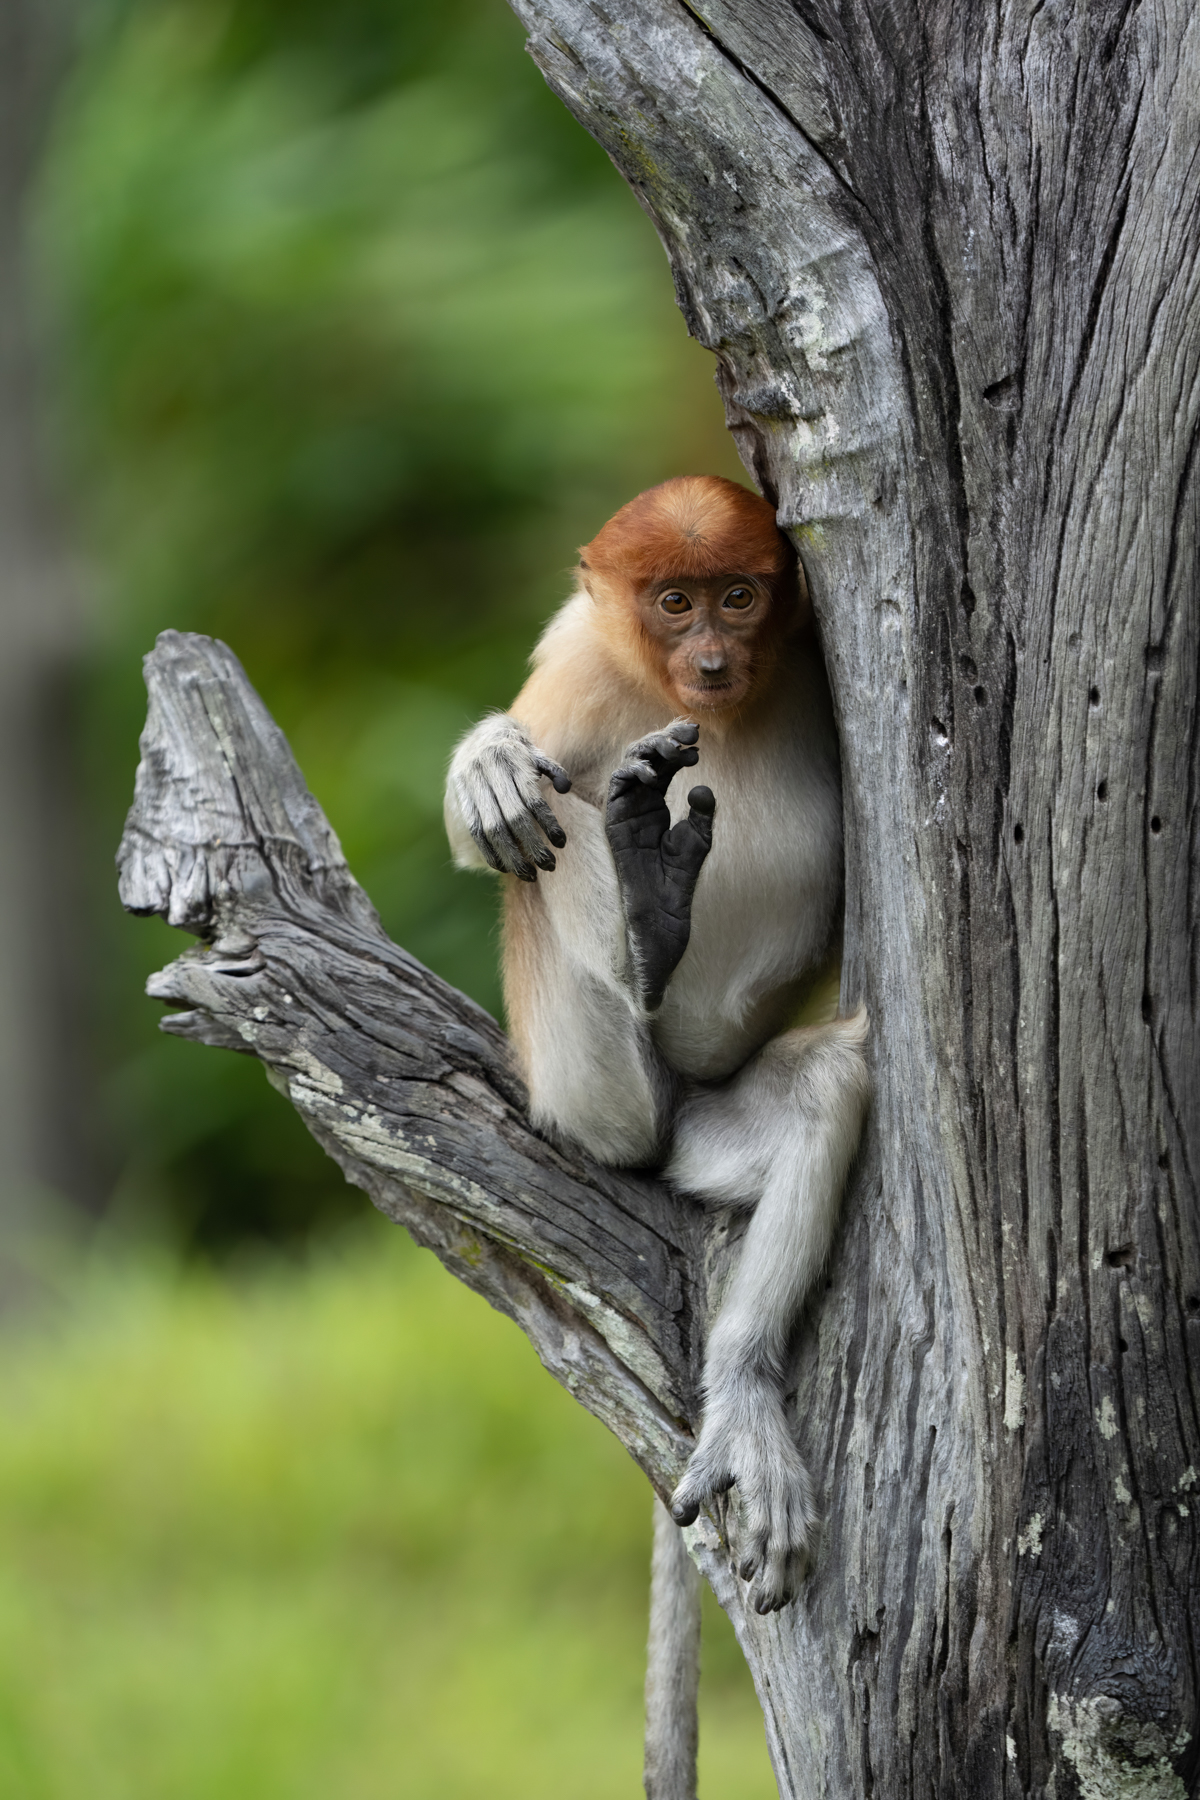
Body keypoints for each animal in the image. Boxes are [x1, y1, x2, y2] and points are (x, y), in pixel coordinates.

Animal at [443, 476, 869, 1623]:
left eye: (738, 596)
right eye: (674, 603)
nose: (712, 662)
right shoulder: (581, 657)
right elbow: (491, 822)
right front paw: (488, 765)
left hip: (709, 1121)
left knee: (824, 1085)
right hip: (592, 1092)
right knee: (543, 859)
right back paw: (643, 906)